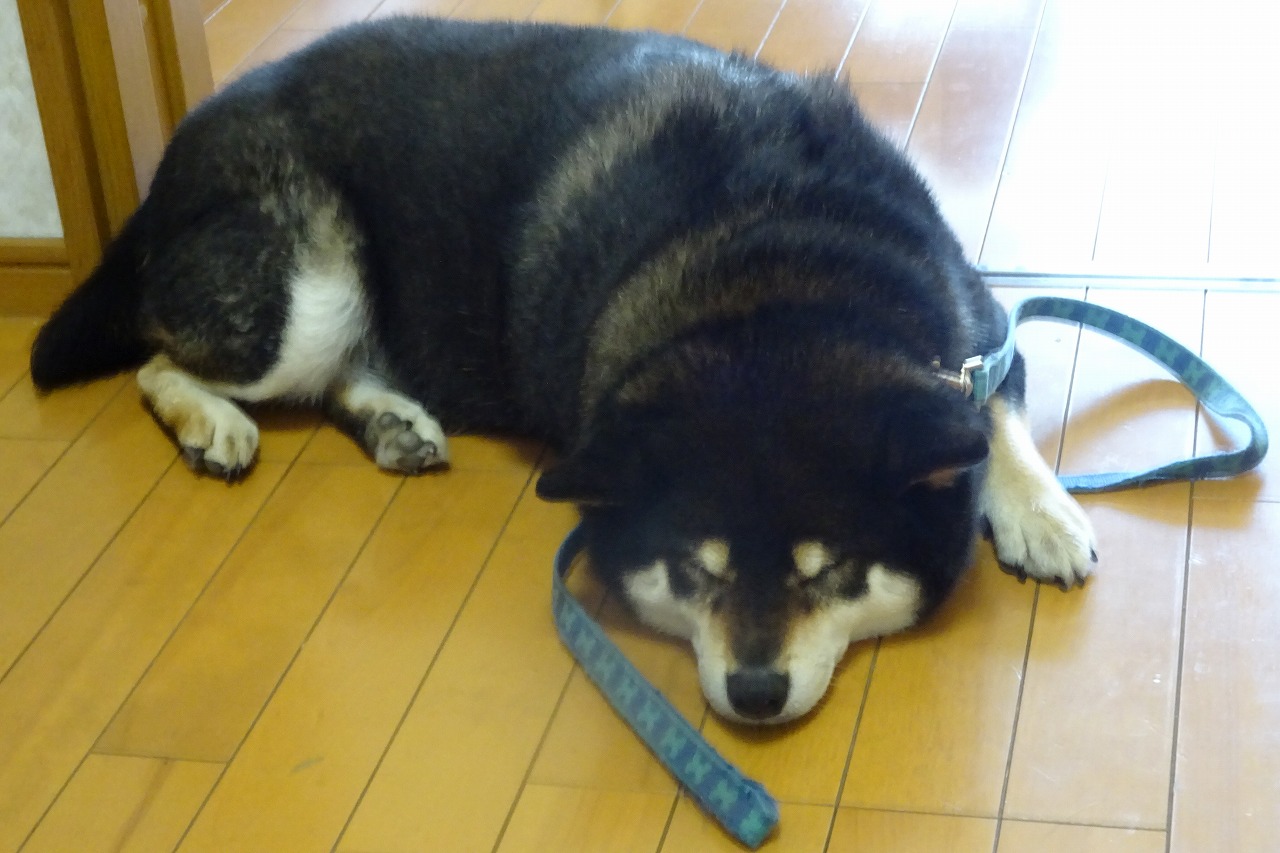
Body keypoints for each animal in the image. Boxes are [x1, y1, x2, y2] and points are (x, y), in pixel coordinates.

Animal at [30, 17, 1096, 724]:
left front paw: (1039, 513)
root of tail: (178, 149)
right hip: (308, 285)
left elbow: (994, 413)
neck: (777, 280)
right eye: (691, 570)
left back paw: (393, 419)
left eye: (831, 569)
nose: (754, 691)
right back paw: (215, 421)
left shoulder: (979, 325)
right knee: (161, 358)